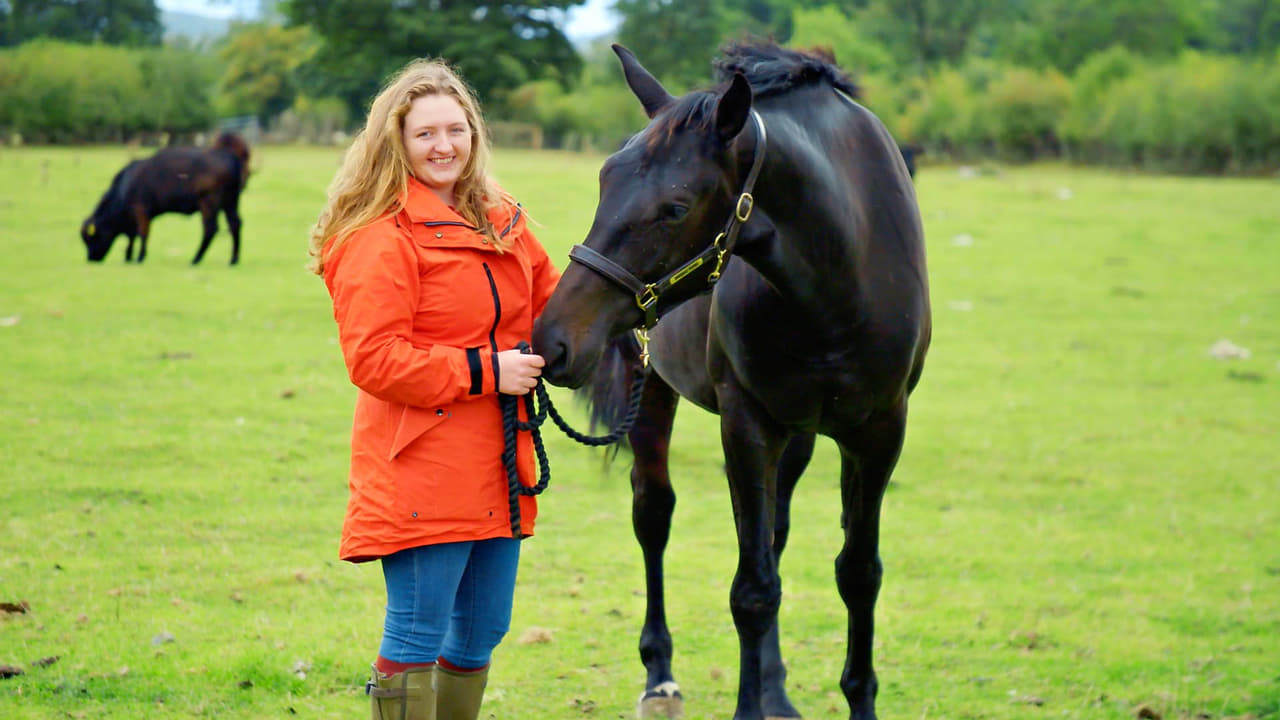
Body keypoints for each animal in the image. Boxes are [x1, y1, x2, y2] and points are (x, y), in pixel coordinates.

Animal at [81, 131, 250, 263]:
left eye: (91, 237)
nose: (91, 258)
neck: (123, 187)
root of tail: (227, 155)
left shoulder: (141, 212)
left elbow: (142, 234)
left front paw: (139, 258)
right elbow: (132, 237)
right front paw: (129, 257)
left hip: (209, 204)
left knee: (211, 228)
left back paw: (195, 259)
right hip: (230, 203)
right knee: (235, 224)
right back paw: (233, 260)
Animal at [529, 43, 931, 717]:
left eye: (675, 208)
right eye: (606, 179)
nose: (553, 340)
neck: (838, 279)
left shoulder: (880, 431)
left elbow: (856, 573)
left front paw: (849, 697)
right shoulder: (748, 424)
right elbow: (753, 589)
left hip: (800, 433)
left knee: (775, 536)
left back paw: (777, 689)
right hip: (653, 390)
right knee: (654, 514)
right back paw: (660, 675)